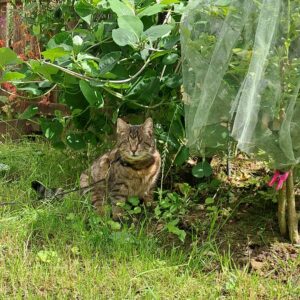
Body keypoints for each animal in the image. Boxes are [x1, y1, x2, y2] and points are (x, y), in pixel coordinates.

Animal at [31, 118, 161, 220]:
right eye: (127, 142)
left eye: (140, 141)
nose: (133, 150)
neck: (140, 167)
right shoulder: (118, 188)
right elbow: (118, 205)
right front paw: (120, 219)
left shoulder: (151, 185)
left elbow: (150, 199)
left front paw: (153, 209)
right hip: (92, 188)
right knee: (99, 209)